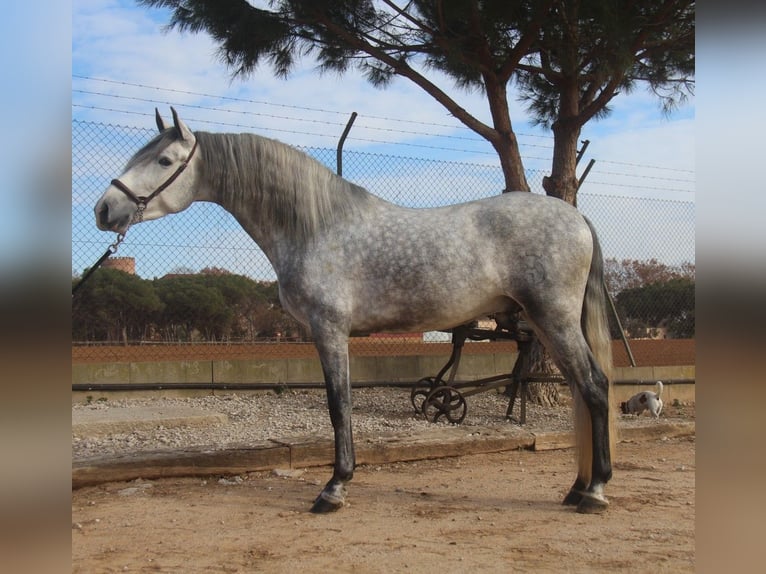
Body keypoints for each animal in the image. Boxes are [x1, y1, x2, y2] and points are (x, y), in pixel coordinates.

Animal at [94, 109, 616, 516]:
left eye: (164, 161)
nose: (104, 209)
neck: (317, 225)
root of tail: (576, 217)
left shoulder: (329, 329)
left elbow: (338, 405)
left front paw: (334, 488)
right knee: (581, 388)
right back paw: (576, 488)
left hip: (554, 319)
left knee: (594, 387)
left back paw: (594, 491)